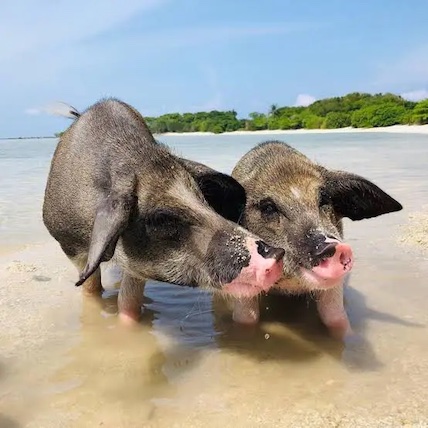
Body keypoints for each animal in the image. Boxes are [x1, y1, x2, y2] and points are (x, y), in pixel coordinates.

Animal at [43, 98, 286, 324]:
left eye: (203, 198)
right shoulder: (70, 247)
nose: (275, 252)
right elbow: (91, 288)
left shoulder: (136, 267)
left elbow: (128, 301)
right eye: (161, 219)